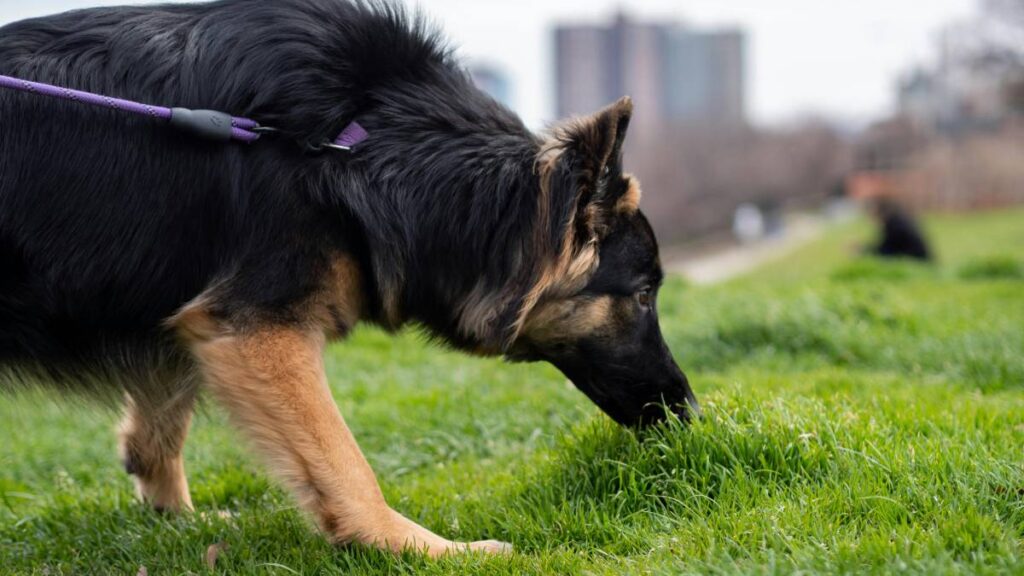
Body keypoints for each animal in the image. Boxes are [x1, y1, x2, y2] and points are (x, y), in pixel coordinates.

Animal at [0, 0, 696, 557]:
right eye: (642, 295)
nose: (690, 412)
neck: (355, 146)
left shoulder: (195, 312)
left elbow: (163, 413)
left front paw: (174, 517)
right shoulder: (258, 328)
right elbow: (344, 463)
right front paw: (419, 548)